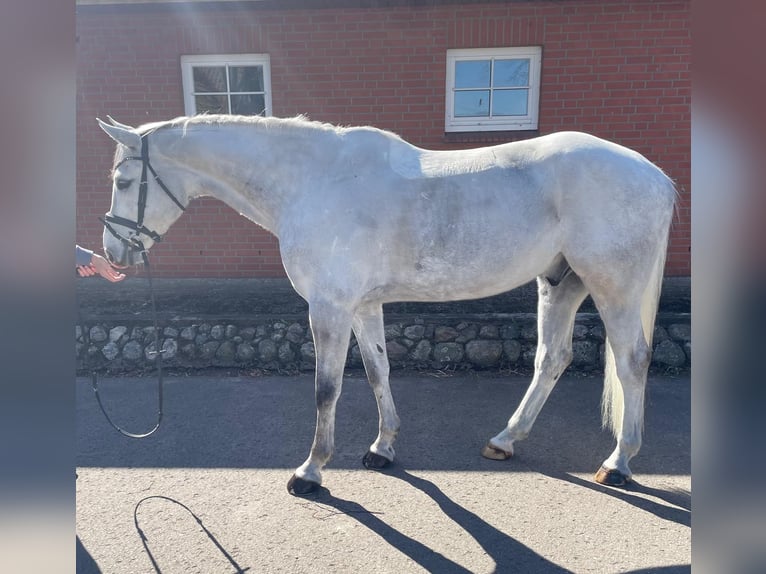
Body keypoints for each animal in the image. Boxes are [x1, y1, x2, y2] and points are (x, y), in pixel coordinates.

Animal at [97, 114, 675, 495]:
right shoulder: (362, 306)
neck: (313, 182)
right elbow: (378, 371)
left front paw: (311, 471)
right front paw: (382, 449)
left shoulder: (328, 307)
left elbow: (327, 387)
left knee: (631, 361)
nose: (114, 252)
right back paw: (506, 439)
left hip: (613, 286)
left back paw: (619, 463)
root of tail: (656, 176)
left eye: (123, 181)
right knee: (552, 359)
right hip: (561, 283)